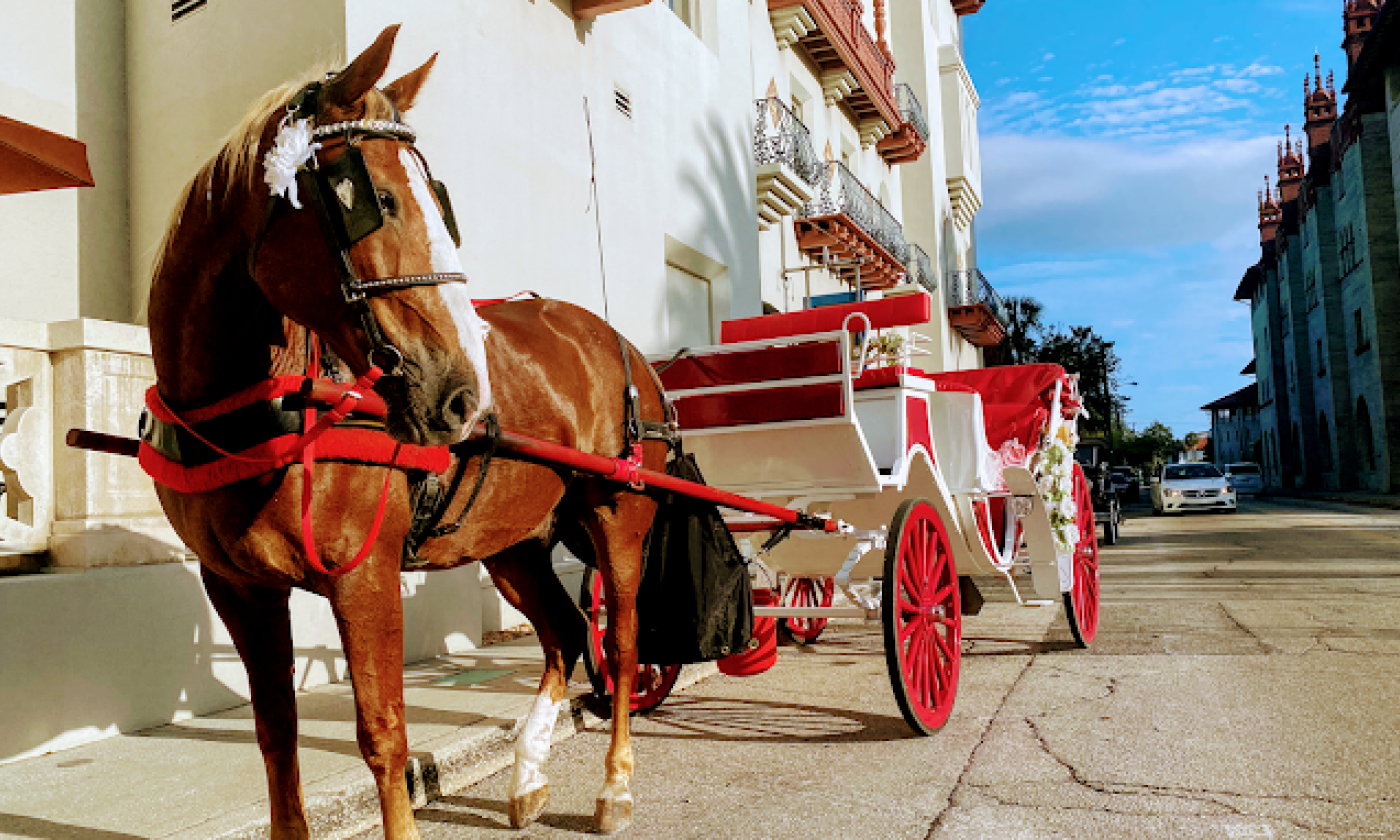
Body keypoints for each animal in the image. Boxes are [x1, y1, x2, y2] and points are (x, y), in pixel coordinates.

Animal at [150, 26, 663, 840]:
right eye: (376, 201)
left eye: (439, 203)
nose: (463, 396)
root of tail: (616, 342)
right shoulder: (238, 587)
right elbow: (276, 733)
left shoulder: (363, 575)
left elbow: (383, 733)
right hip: (511, 541)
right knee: (563, 633)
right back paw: (529, 774)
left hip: (619, 514)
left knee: (622, 637)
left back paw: (615, 784)